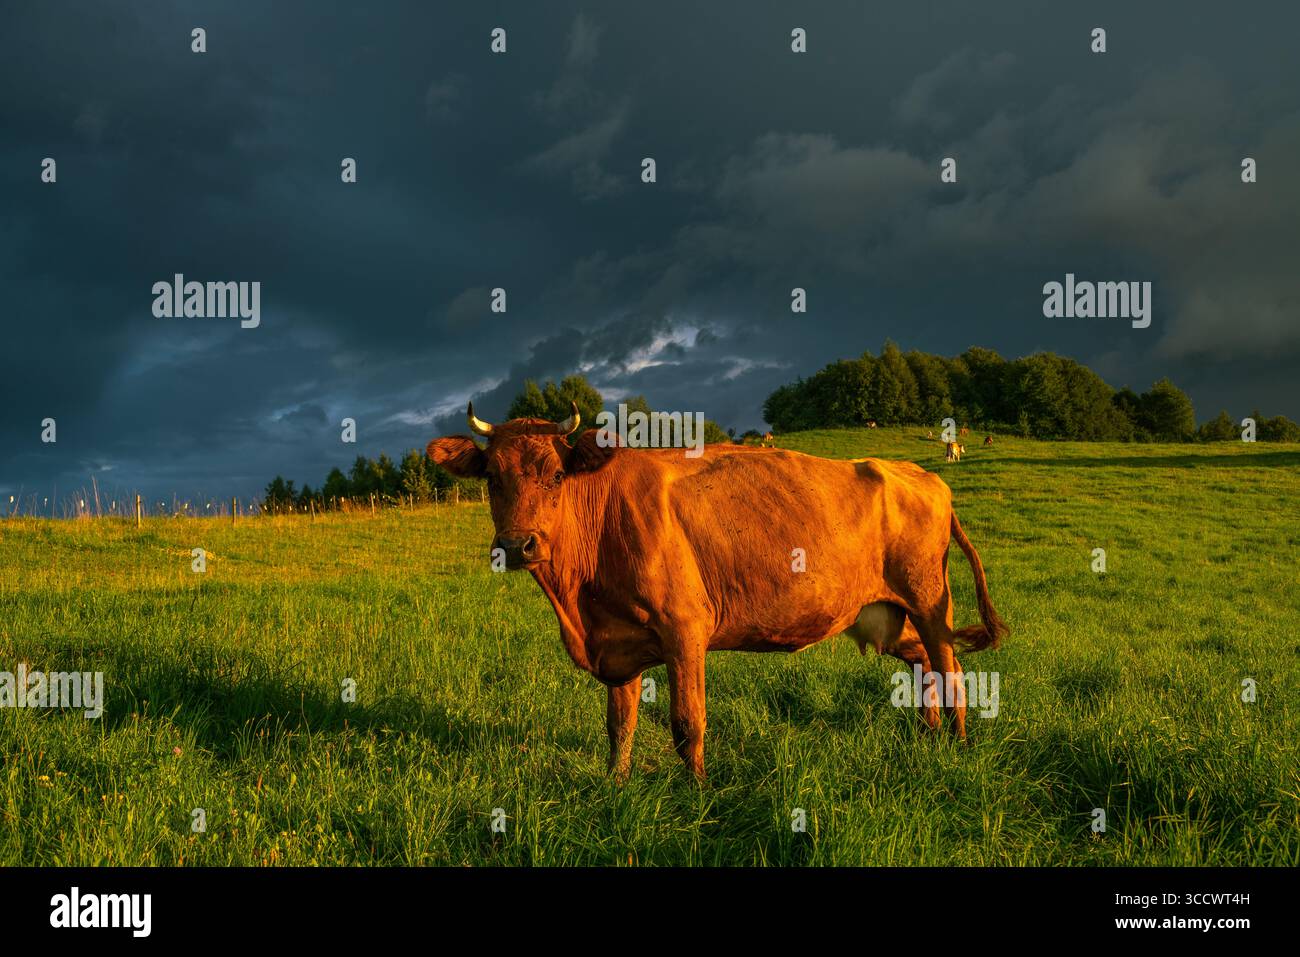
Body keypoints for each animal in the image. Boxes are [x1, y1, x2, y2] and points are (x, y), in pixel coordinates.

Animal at [427, 403, 1008, 779]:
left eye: (553, 475)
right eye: (491, 477)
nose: (517, 545)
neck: (579, 605)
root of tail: (920, 474)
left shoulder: (684, 627)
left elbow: (687, 723)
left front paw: (698, 795)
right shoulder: (617, 641)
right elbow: (620, 723)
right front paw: (615, 786)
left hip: (930, 602)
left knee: (951, 670)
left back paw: (955, 747)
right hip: (887, 613)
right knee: (926, 666)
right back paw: (928, 739)